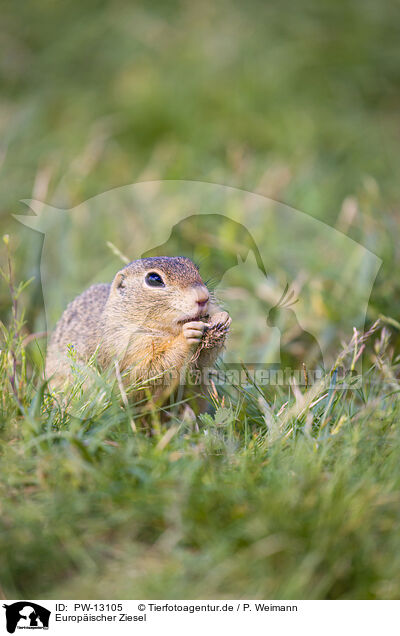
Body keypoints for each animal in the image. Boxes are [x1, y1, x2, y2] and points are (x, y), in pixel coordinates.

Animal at [45, 255, 231, 400]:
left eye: (195, 268)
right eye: (154, 279)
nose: (203, 297)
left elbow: (200, 366)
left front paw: (222, 318)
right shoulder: (124, 346)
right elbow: (147, 371)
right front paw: (187, 336)